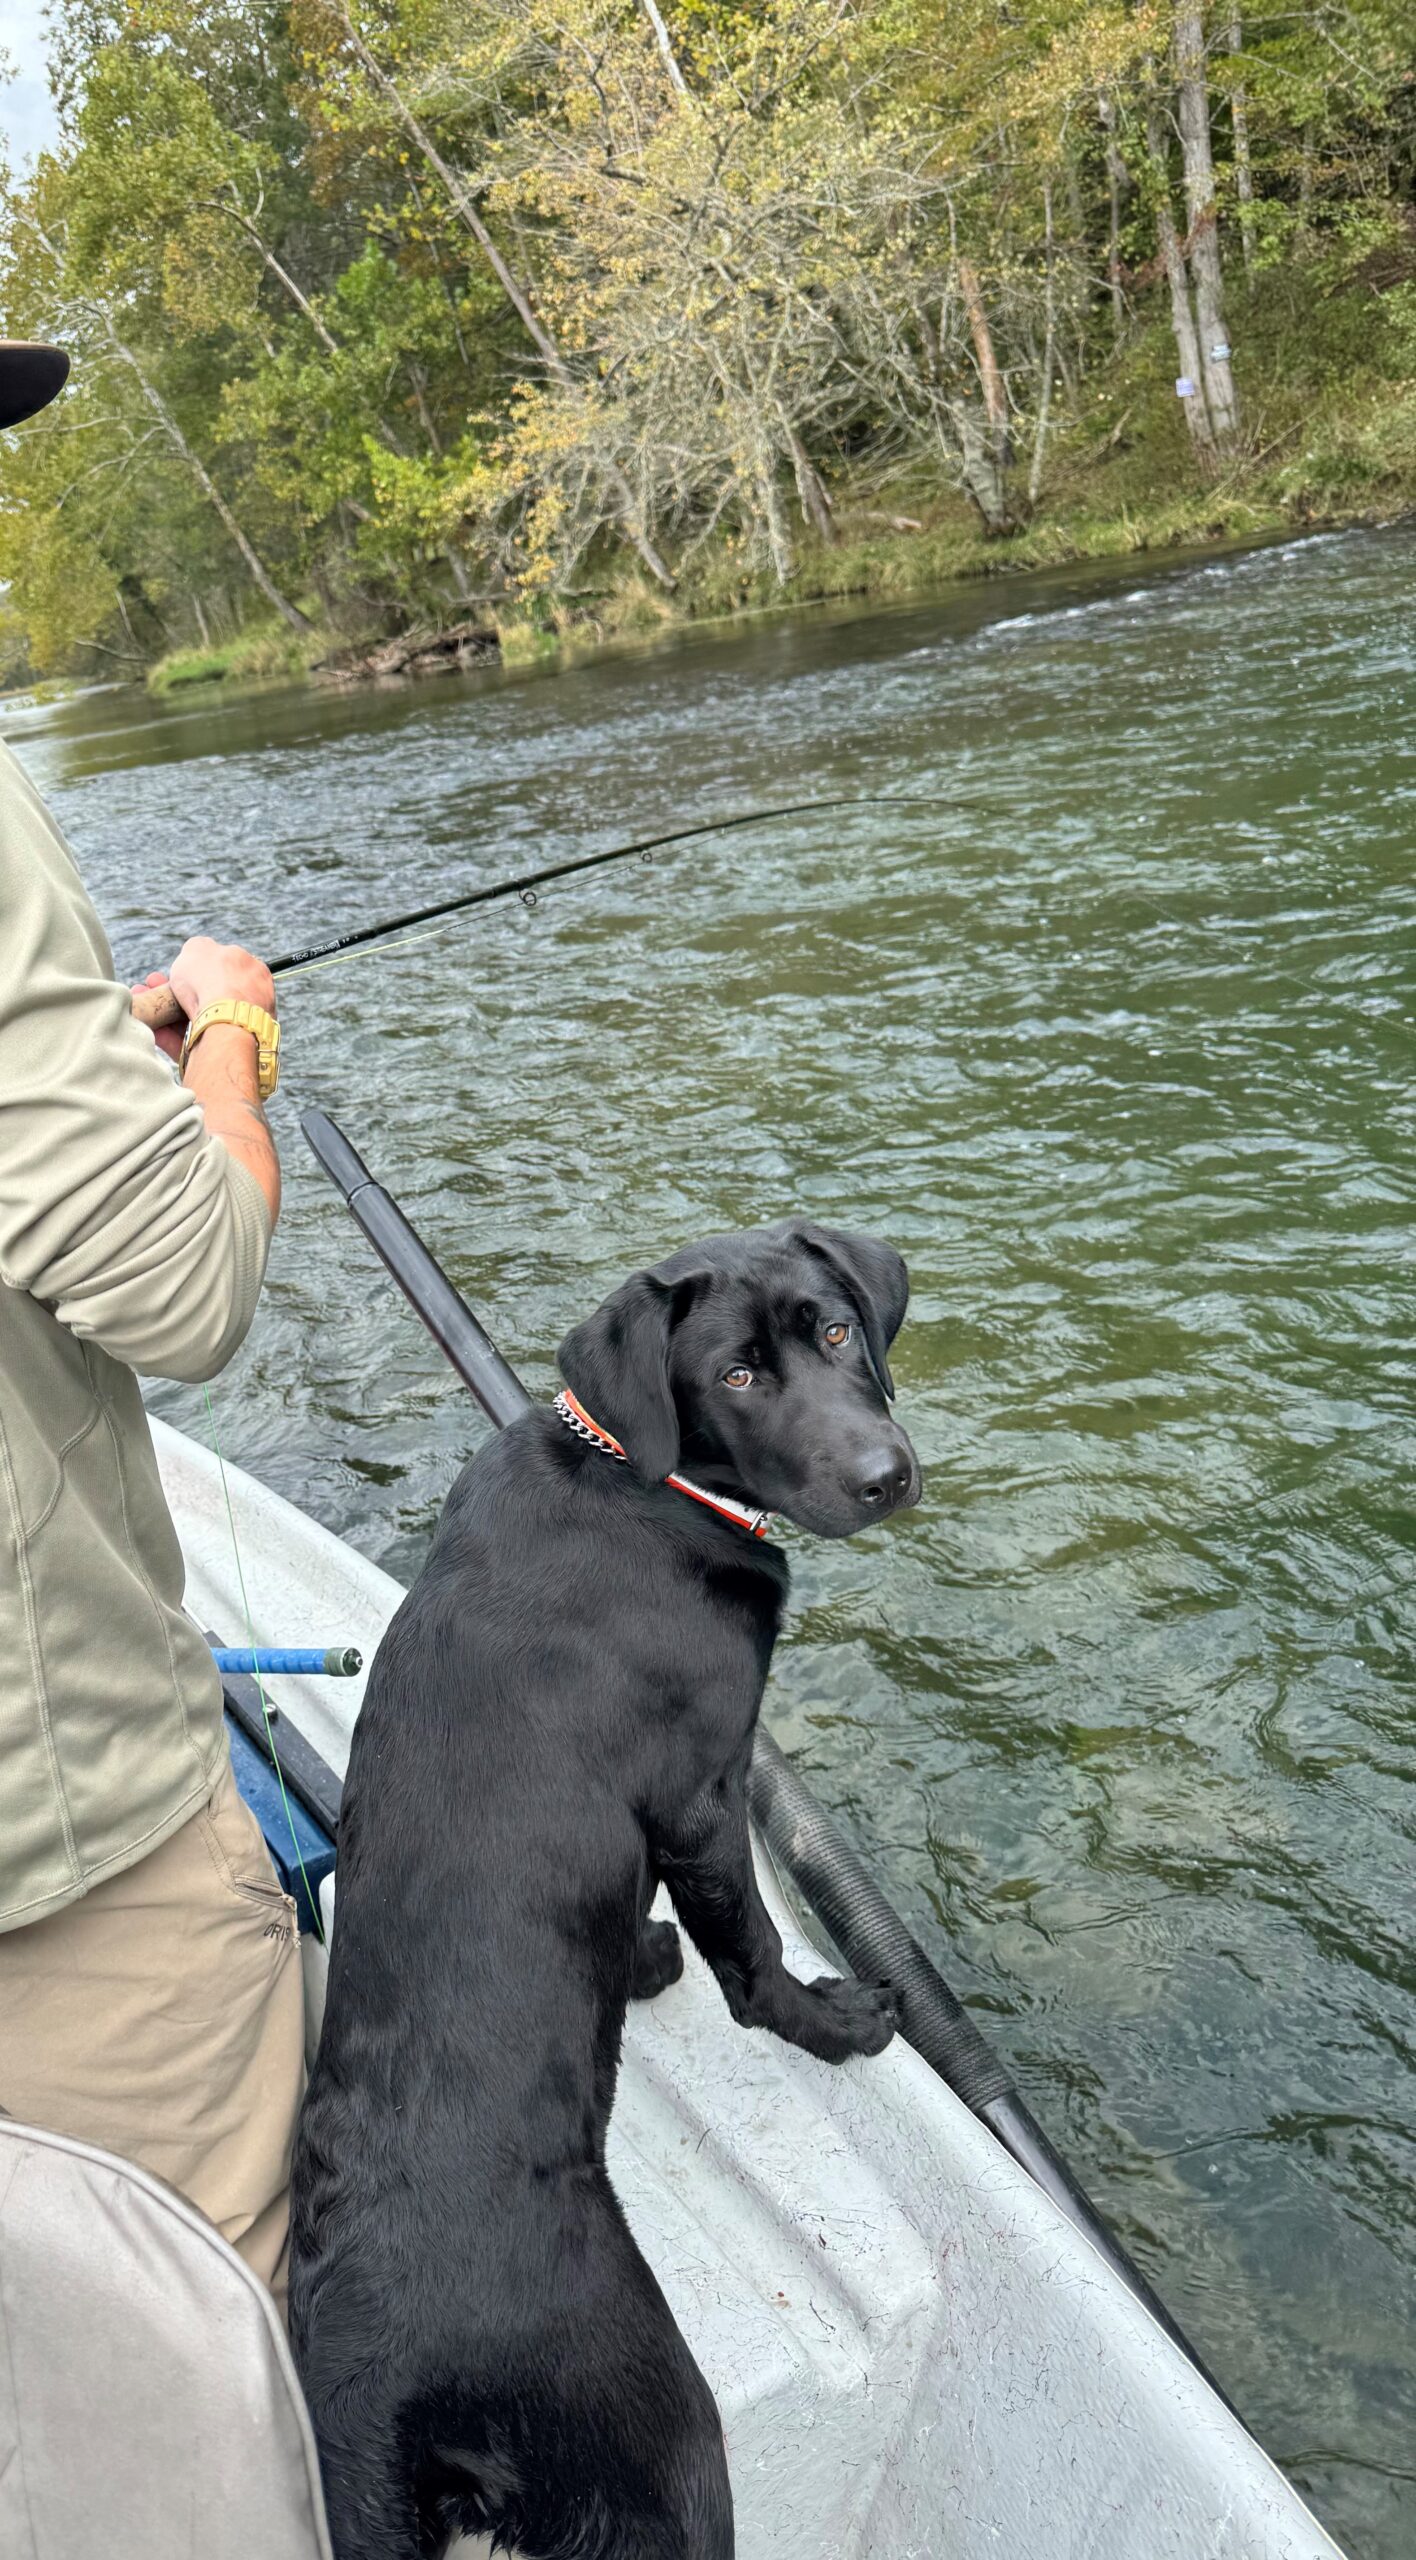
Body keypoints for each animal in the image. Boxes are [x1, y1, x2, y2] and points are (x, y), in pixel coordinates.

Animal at [290, 1221, 921, 2560]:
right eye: (735, 1375)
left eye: (838, 1328)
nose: (885, 1473)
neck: (636, 1477)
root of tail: (385, 2377)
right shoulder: (702, 1791)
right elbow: (749, 1952)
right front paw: (832, 2022)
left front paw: (637, 1963)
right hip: (662, 2451)